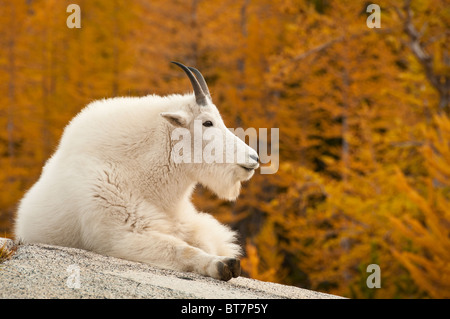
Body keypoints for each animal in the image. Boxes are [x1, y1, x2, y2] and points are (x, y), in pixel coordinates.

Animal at [14, 61, 260, 282]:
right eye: (207, 123)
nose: (254, 158)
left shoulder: (190, 226)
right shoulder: (123, 234)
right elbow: (181, 249)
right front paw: (222, 265)